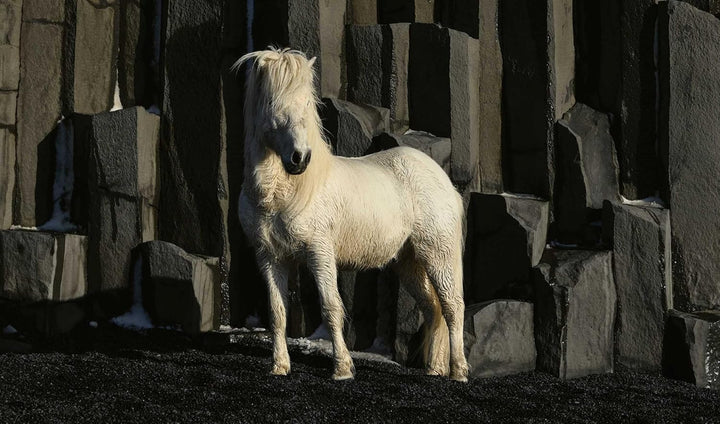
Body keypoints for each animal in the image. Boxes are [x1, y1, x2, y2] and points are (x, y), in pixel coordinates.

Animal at [233, 47, 469, 382]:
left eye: (306, 103)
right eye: (272, 104)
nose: (300, 158)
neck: (285, 194)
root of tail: (442, 179)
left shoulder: (320, 253)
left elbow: (331, 308)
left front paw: (342, 369)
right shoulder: (270, 257)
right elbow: (277, 313)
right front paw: (280, 367)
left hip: (439, 254)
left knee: (452, 307)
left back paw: (458, 372)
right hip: (410, 262)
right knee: (432, 308)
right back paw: (435, 370)